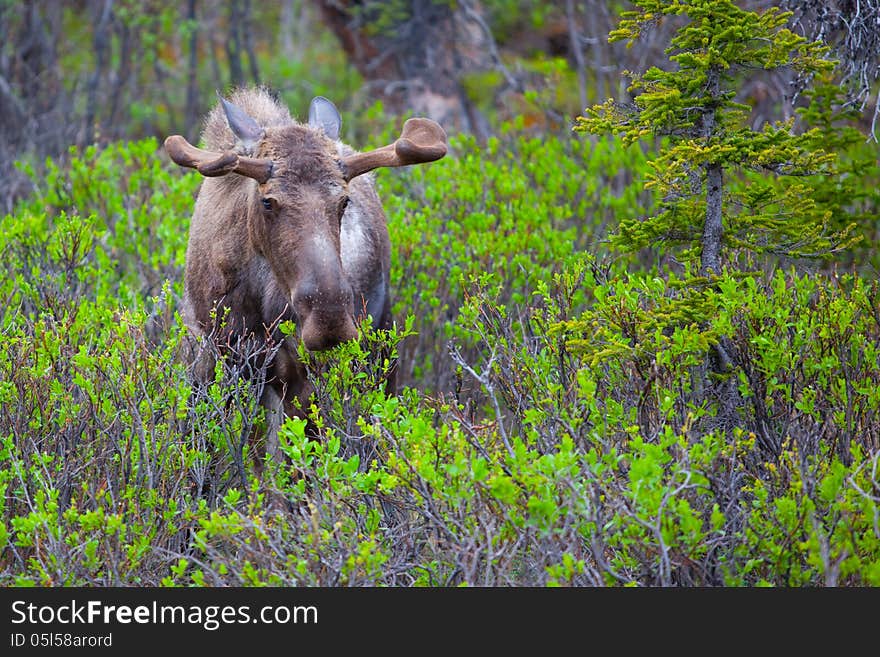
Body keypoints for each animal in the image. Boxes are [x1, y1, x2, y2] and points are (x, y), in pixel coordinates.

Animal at [164, 87, 446, 462]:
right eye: (268, 201)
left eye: (343, 201)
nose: (329, 319)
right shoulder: (215, 355)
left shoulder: (297, 374)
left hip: (379, 349)